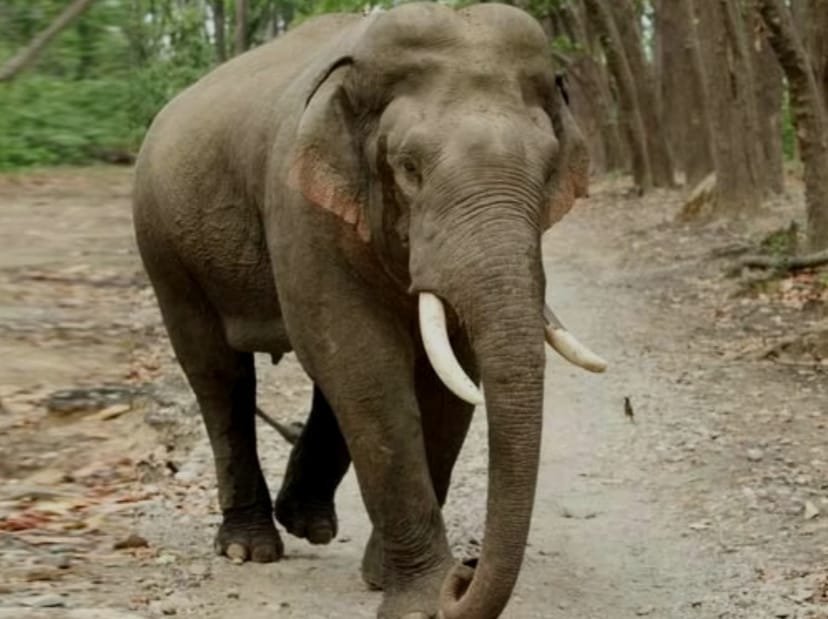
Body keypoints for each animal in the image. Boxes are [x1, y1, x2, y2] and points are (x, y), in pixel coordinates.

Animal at [132, 3, 605, 618]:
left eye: (549, 170)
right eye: (408, 167)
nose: (466, 573)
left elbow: (443, 380)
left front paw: (391, 581)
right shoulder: (300, 206)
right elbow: (368, 366)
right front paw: (422, 600)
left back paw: (306, 524)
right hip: (165, 248)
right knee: (219, 376)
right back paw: (249, 547)